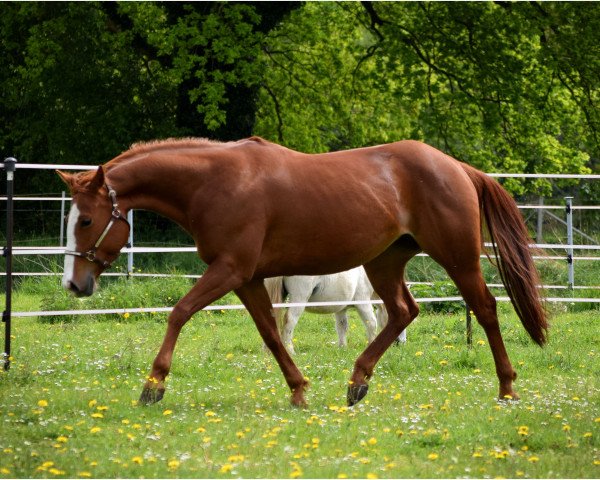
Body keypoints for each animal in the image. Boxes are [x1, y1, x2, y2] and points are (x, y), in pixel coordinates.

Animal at [264, 266, 408, 352]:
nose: (401, 343)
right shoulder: (363, 302)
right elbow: (371, 324)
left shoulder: (341, 309)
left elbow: (342, 327)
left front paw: (342, 348)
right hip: (299, 299)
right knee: (289, 322)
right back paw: (290, 351)